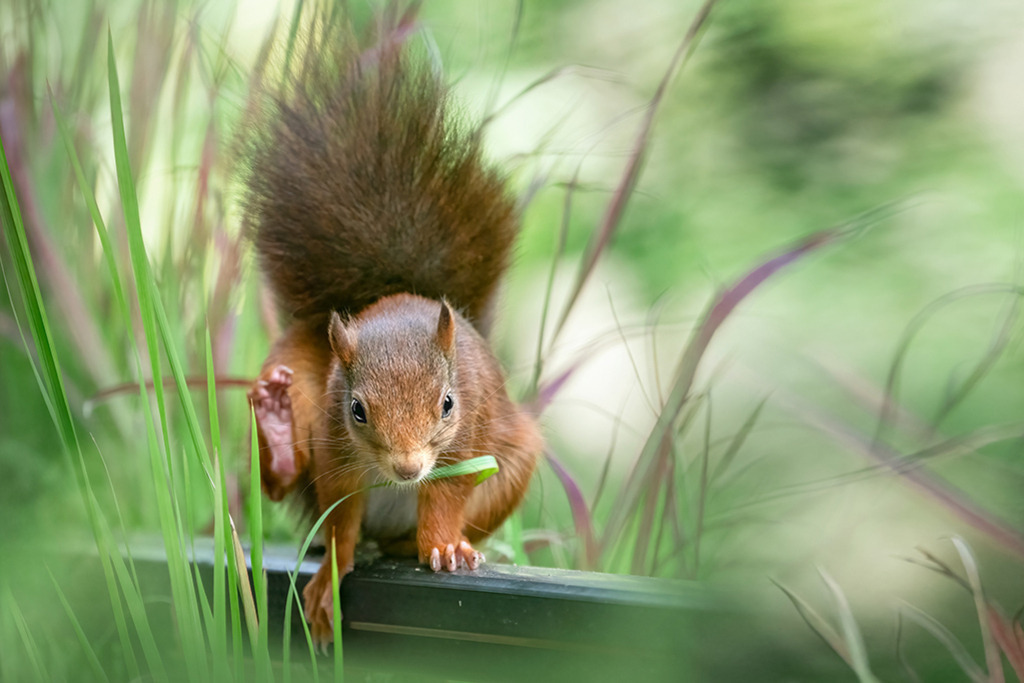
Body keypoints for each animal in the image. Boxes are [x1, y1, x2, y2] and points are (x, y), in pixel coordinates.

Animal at [239, 5, 543, 645]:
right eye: (358, 410)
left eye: (448, 403)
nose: (407, 467)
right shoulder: (336, 449)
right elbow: (338, 520)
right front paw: (330, 579)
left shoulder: (466, 441)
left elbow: (446, 494)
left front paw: (444, 546)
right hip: (300, 372)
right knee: (294, 484)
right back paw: (276, 432)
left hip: (510, 466)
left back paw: (428, 546)